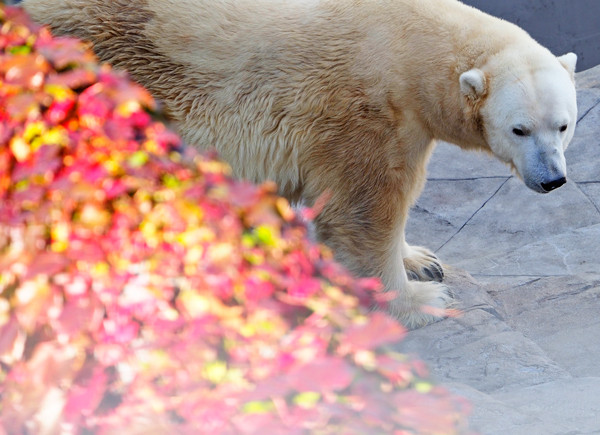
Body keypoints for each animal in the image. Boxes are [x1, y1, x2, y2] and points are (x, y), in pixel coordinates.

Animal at [22, 0, 576, 328]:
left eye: (563, 125)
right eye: (519, 129)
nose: (552, 179)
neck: (409, 44)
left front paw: (422, 260)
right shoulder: (366, 112)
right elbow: (364, 214)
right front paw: (422, 303)